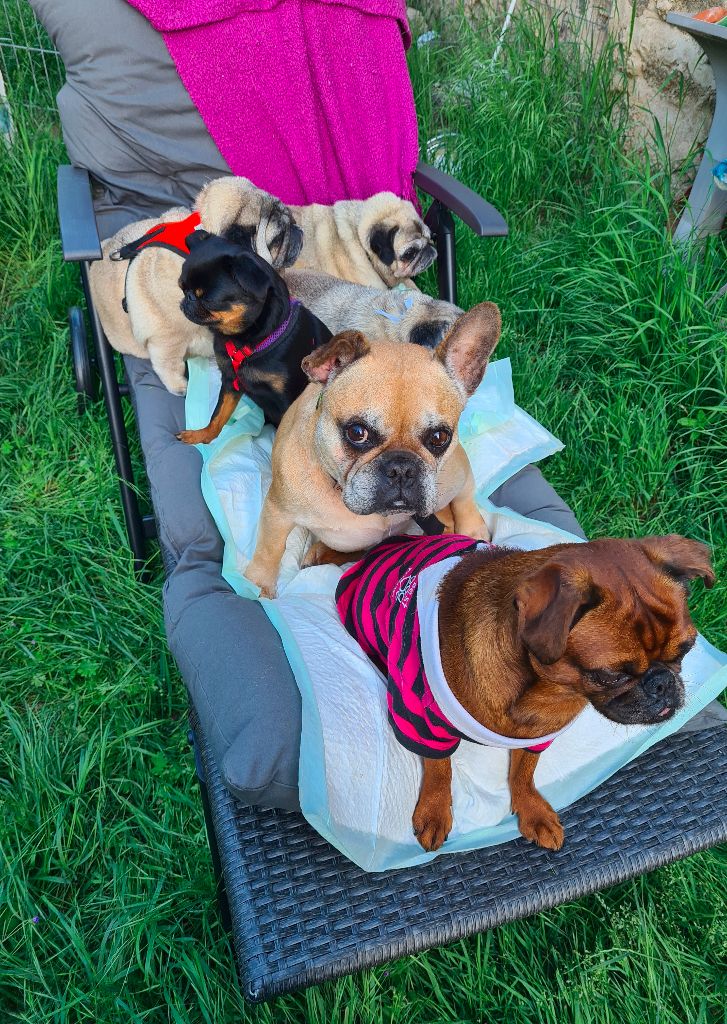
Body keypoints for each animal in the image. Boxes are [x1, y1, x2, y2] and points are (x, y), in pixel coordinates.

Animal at [176, 228, 333, 444]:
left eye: (208, 300)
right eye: (182, 288)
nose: (187, 299)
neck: (246, 340)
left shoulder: (287, 400)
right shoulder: (231, 382)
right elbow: (218, 415)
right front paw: (202, 435)